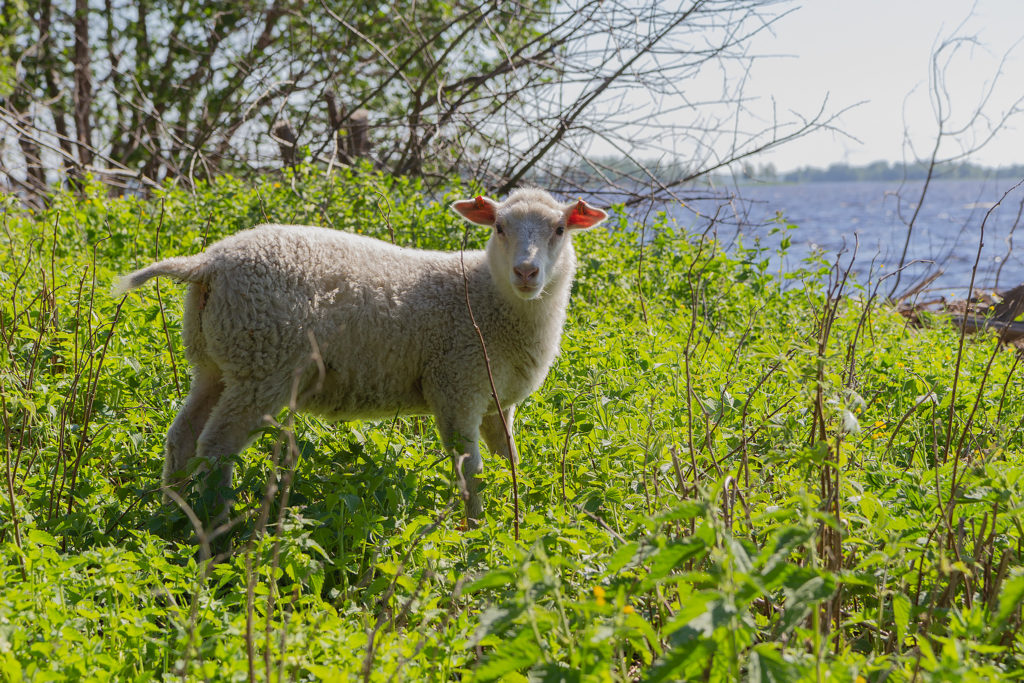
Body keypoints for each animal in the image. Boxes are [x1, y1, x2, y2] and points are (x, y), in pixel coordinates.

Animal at [116, 187, 606, 524]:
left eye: (560, 230)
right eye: (499, 228)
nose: (526, 272)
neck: (486, 297)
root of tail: (209, 262)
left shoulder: (496, 401)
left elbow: (508, 460)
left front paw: (517, 514)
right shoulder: (456, 384)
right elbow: (472, 472)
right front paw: (476, 530)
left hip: (217, 361)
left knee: (182, 437)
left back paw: (173, 512)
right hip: (264, 365)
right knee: (216, 447)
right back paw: (216, 525)